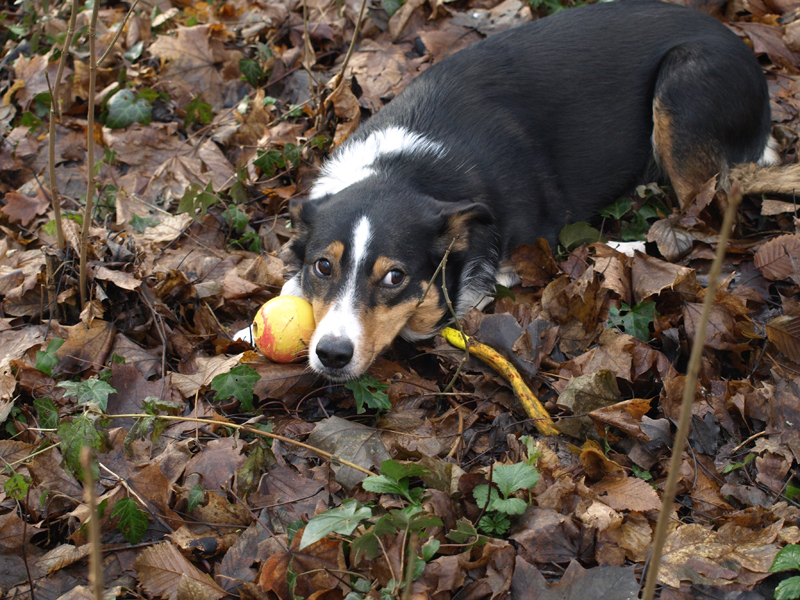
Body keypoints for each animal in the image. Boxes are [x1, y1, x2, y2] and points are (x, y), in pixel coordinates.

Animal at [278, 0, 780, 380]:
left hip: (684, 88)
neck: (404, 169)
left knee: (699, 226)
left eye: (394, 277)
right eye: (323, 266)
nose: (332, 354)